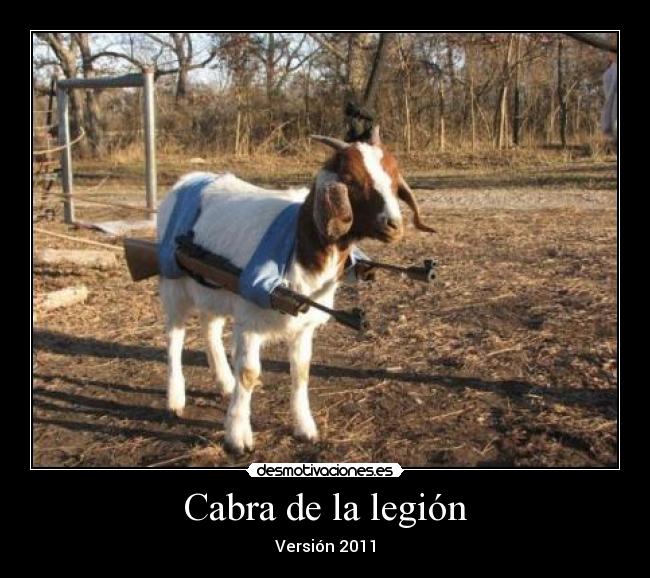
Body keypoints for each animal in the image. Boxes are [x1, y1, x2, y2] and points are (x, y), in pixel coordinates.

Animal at [156, 127, 434, 454]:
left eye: (393, 179)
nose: (394, 225)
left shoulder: (303, 325)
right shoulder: (249, 321)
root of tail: (186, 180)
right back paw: (176, 399)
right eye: (351, 179)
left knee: (210, 326)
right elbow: (248, 374)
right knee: (174, 337)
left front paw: (305, 428)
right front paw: (237, 437)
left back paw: (224, 384)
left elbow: (301, 372)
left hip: (213, 290)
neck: (297, 244)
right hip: (173, 284)